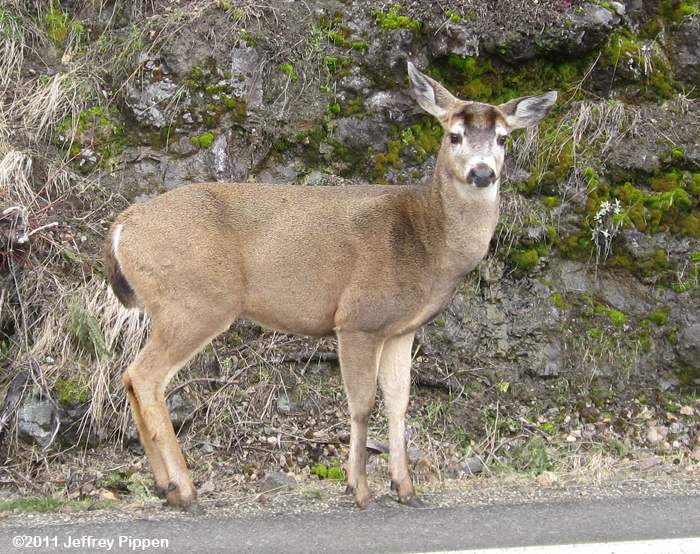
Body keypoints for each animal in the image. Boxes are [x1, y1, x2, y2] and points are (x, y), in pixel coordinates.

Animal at [104, 61, 556, 512]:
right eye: (454, 135)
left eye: (502, 137)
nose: (482, 173)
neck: (428, 243)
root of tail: (122, 226)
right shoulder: (358, 319)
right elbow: (361, 404)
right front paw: (358, 488)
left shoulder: (401, 329)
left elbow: (399, 403)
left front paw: (405, 488)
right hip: (195, 302)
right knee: (145, 377)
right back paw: (186, 490)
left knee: (129, 378)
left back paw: (166, 488)